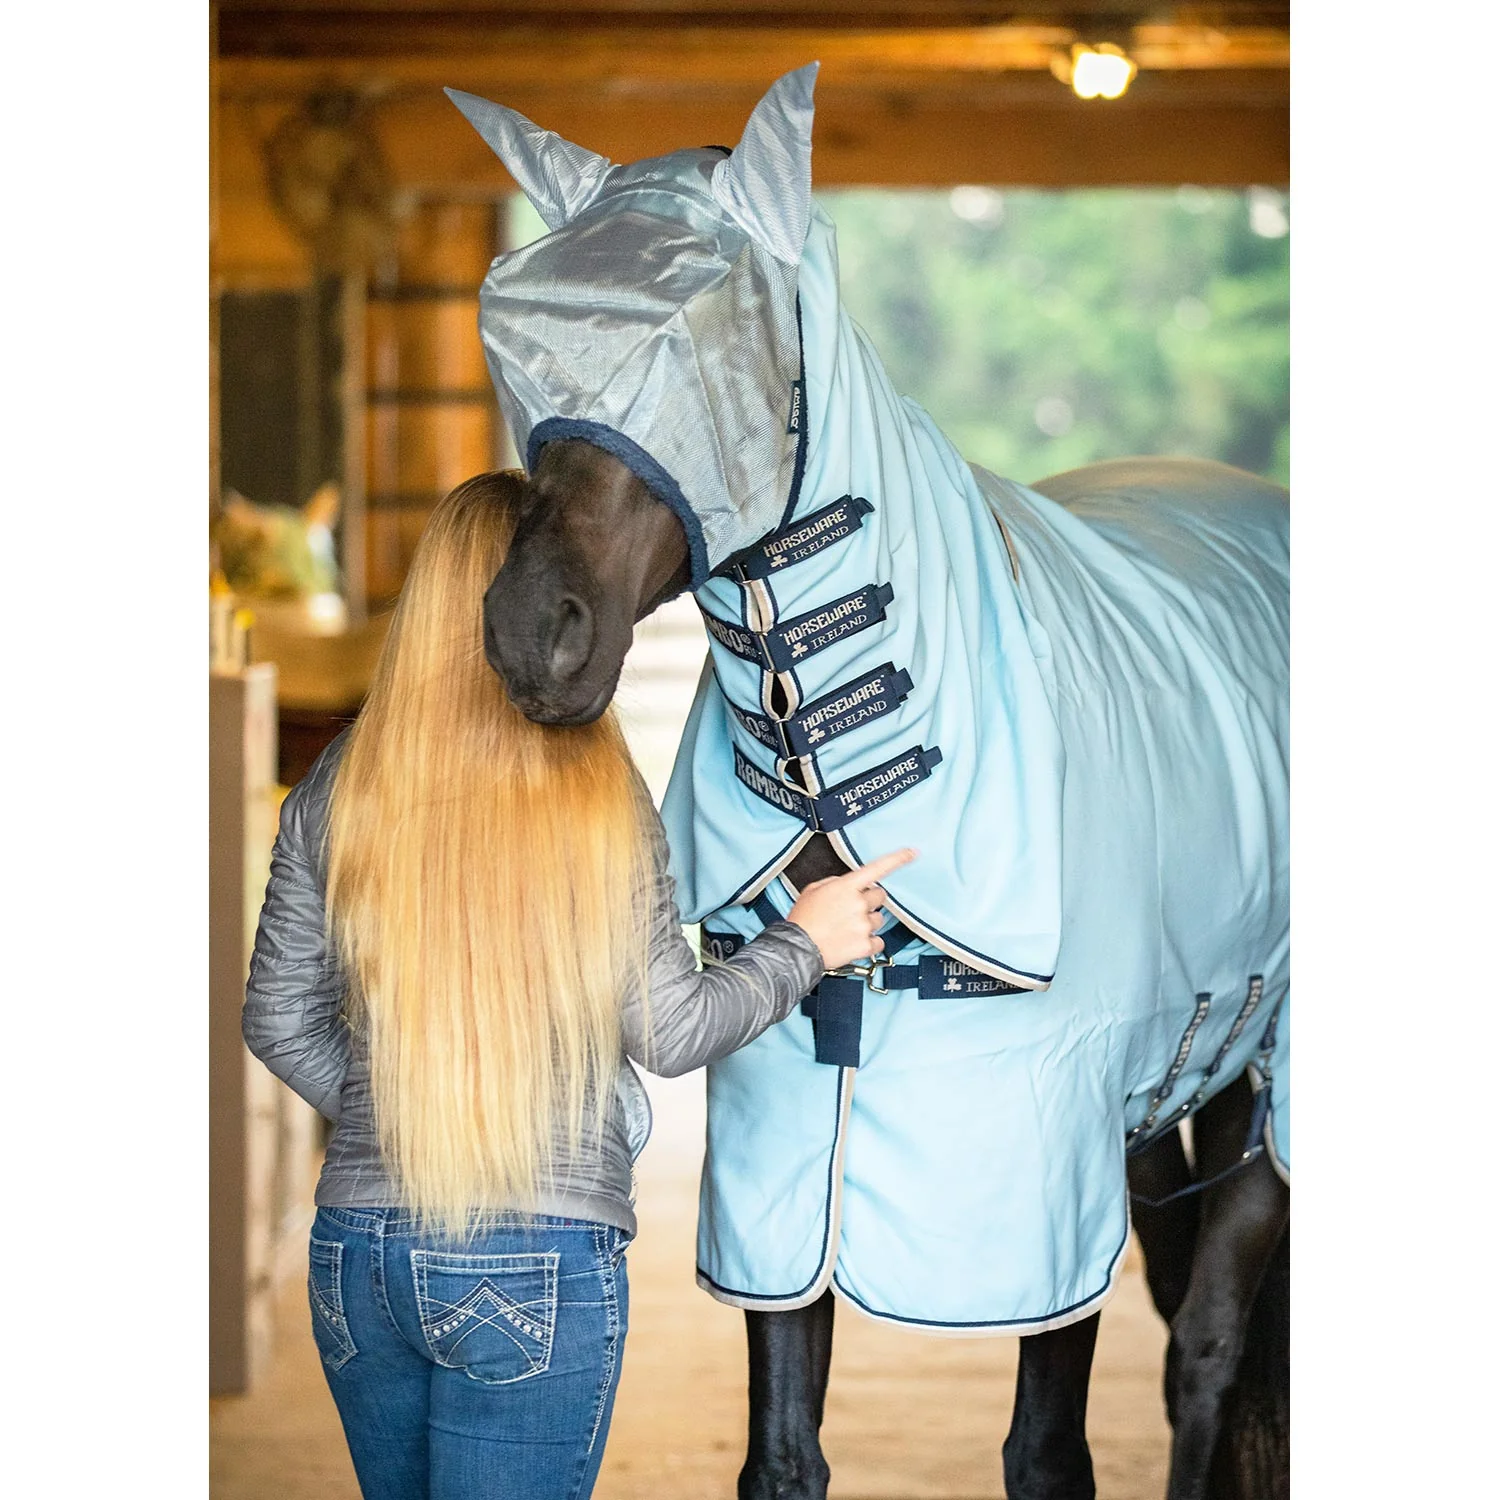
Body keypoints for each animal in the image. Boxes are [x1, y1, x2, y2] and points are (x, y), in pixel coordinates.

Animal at [447, 65, 1289, 1500]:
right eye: (525, 341)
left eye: (712, 333)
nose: (529, 633)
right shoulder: (788, 1179)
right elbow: (784, 1455)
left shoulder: (1039, 1195)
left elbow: (1048, 1456)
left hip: (1260, 1078)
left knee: (1211, 1355)